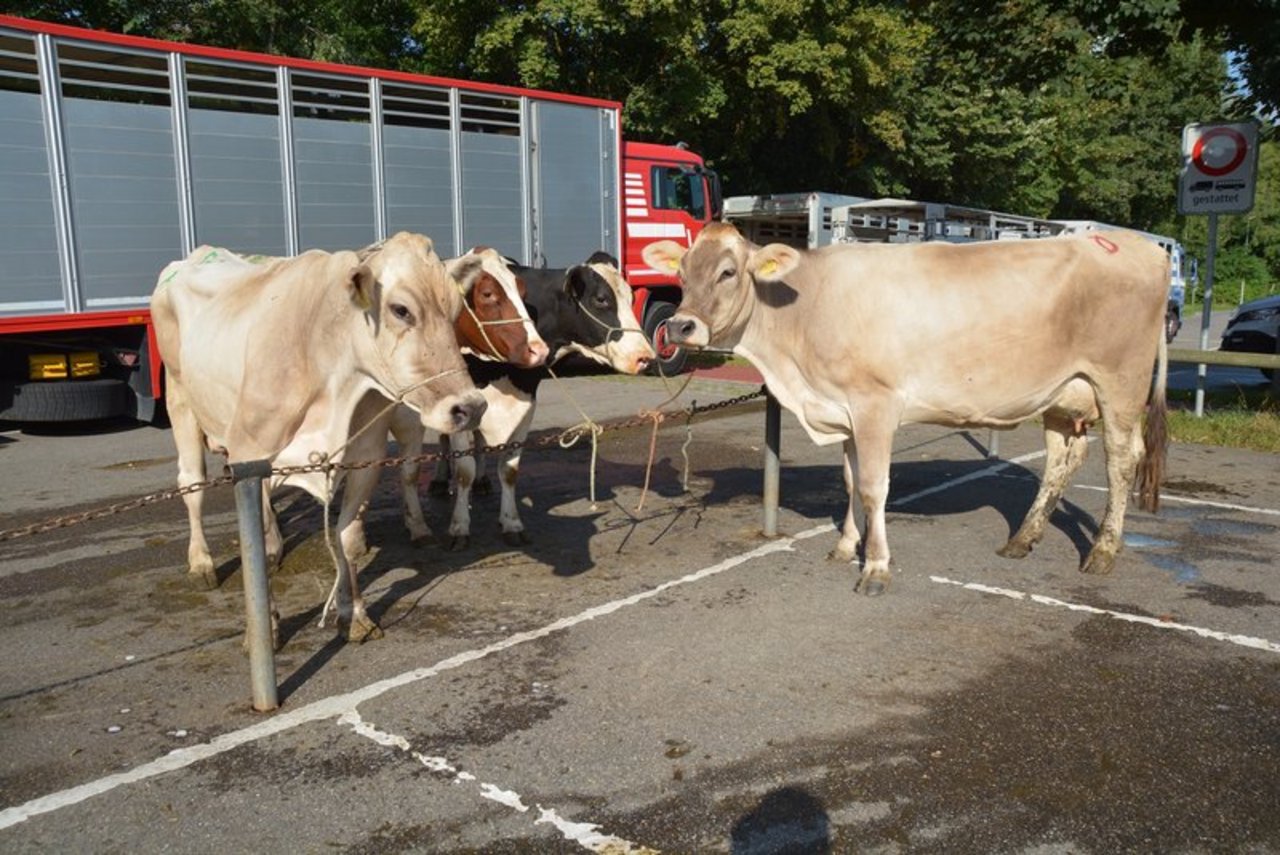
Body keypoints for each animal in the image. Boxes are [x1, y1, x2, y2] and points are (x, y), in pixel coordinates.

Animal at [151, 234, 488, 639]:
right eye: (401, 310)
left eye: (455, 311)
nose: (471, 407)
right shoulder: (249, 452)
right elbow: (253, 544)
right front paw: (266, 626)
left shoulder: (366, 456)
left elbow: (348, 539)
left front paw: (354, 614)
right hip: (179, 396)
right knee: (192, 483)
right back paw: (202, 562)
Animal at [645, 225, 1167, 593]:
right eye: (681, 273)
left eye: (728, 271)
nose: (681, 326)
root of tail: (1147, 248)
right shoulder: (845, 411)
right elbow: (851, 481)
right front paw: (844, 546)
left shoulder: (874, 403)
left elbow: (875, 488)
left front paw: (876, 567)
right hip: (1063, 393)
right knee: (1063, 459)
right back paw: (1022, 539)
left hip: (1120, 383)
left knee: (1122, 459)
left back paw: (1103, 551)